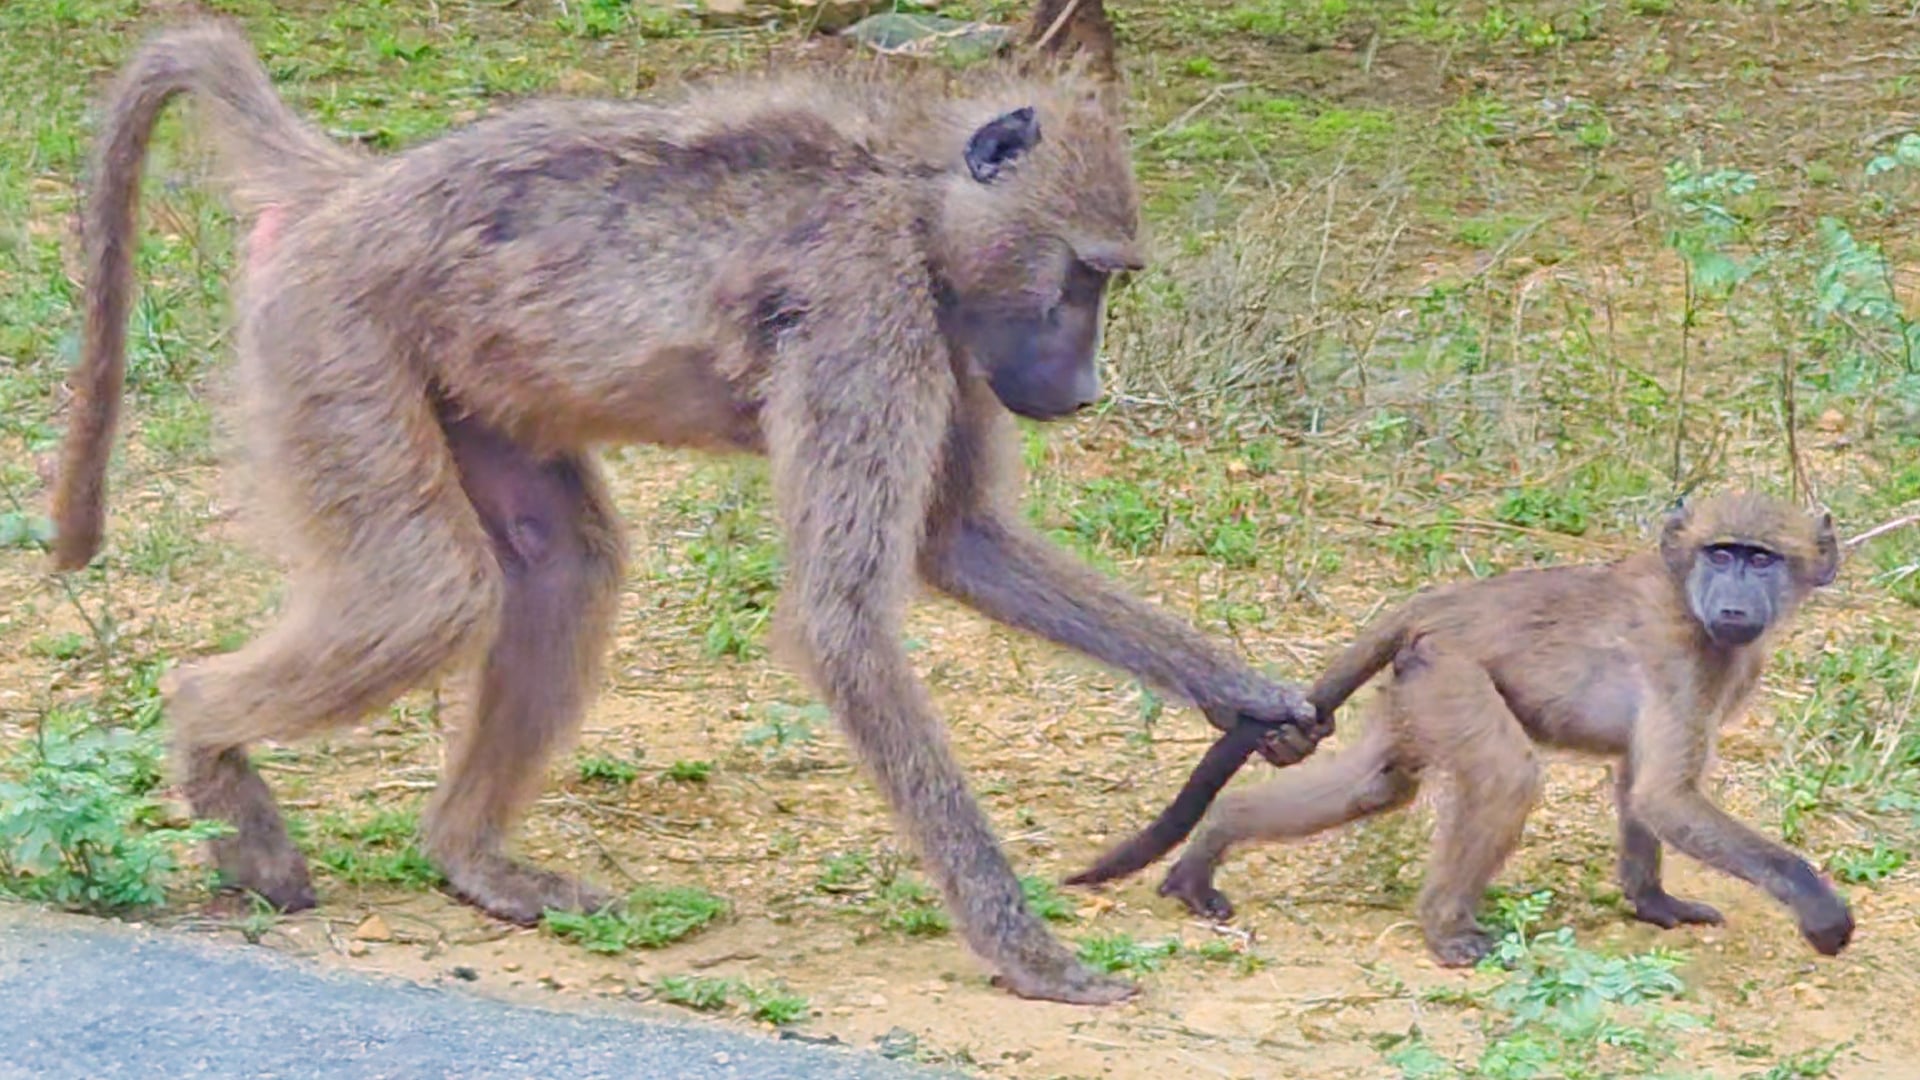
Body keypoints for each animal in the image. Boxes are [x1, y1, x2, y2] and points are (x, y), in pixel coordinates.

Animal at [47, 19, 1333, 1005]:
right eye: (1084, 276)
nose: (1083, 390)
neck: (913, 203)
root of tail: (346, 187)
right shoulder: (871, 306)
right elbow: (841, 618)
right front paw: (1029, 954)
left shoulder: (951, 342)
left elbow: (954, 543)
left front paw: (1246, 695)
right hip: (333, 337)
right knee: (428, 596)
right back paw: (207, 745)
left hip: (464, 384)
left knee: (561, 569)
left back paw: (473, 860)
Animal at [1064, 492, 1855, 968]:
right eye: (1722, 554)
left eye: (1762, 558)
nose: (1734, 605)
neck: (1689, 601)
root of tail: (1438, 605)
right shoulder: (1680, 655)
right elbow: (1663, 795)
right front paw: (1819, 908)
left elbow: (1641, 788)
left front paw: (1654, 903)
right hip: (1452, 672)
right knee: (1505, 778)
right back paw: (1446, 930)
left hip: (1417, 684)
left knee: (1376, 787)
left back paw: (1211, 847)